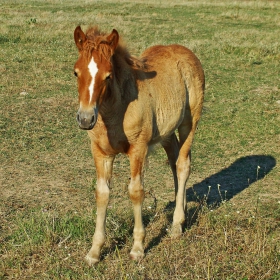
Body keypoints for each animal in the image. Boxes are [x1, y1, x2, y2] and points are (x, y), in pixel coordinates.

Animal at [72, 25, 203, 264]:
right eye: (76, 72)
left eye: (108, 76)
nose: (85, 119)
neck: (113, 113)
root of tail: (186, 51)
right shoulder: (100, 153)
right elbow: (102, 193)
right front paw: (94, 252)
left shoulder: (138, 149)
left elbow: (135, 191)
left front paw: (138, 247)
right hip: (166, 132)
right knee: (174, 162)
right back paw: (181, 211)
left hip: (189, 122)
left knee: (183, 164)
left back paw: (177, 225)